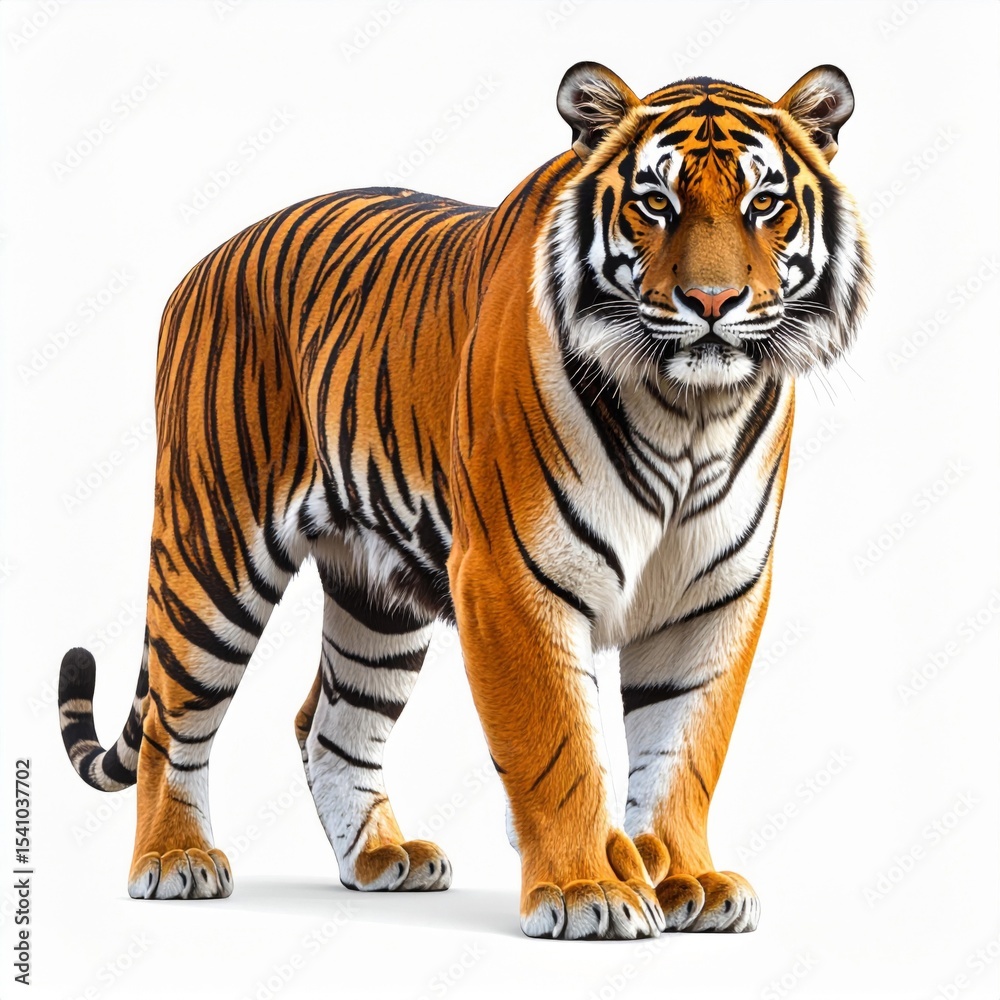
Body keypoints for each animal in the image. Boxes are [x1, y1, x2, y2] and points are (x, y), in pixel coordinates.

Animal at [58, 61, 870, 940]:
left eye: (765, 203)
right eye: (656, 202)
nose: (714, 302)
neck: (689, 414)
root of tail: (203, 262)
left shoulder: (715, 595)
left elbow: (684, 749)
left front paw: (687, 878)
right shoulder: (512, 579)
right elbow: (558, 747)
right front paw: (585, 890)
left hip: (377, 598)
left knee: (331, 722)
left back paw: (382, 858)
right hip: (212, 554)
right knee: (173, 723)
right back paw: (175, 859)